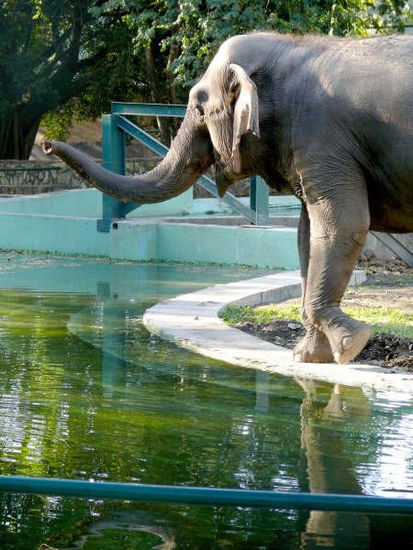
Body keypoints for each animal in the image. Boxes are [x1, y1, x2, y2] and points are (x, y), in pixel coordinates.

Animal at [44, 31, 412, 366]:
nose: (47, 144)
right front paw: (308, 357)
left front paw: (352, 344)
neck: (291, 46)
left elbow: (343, 226)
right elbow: (307, 234)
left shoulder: (322, 137)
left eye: (198, 107)